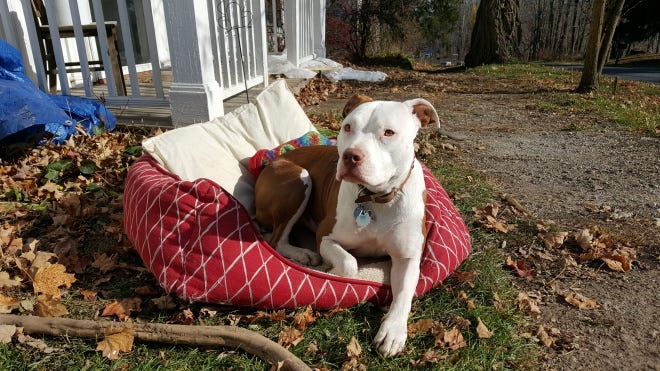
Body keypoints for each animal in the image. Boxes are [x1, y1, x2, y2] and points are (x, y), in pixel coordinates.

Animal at [255, 94, 440, 356]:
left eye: (389, 132)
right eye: (348, 127)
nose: (351, 156)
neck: (375, 199)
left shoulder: (409, 257)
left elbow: (404, 293)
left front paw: (393, 331)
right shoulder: (325, 236)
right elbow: (350, 264)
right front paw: (331, 273)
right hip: (298, 179)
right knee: (277, 240)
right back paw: (302, 254)